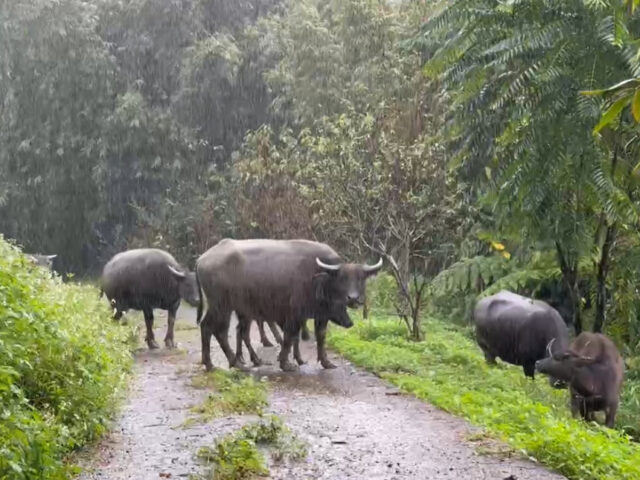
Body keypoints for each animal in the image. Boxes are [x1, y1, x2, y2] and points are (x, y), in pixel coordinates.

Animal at [195, 239, 382, 372]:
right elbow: (289, 337)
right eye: (342, 278)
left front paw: (326, 362)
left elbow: (320, 336)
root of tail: (201, 259)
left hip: (230, 309)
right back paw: (229, 363)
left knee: (219, 329)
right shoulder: (294, 314)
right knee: (215, 329)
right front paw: (286, 363)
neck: (318, 278)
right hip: (221, 305)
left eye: (361, 278)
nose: (353, 298)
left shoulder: (320, 315)